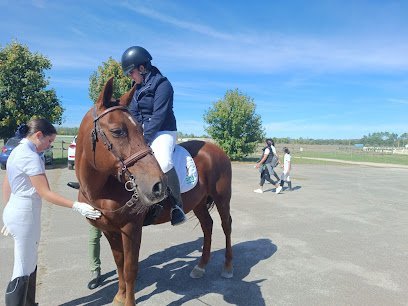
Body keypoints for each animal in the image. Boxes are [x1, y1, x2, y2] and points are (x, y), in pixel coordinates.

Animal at [74, 77, 231, 304]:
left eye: (141, 130)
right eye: (117, 131)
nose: (158, 187)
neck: (103, 190)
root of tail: (216, 149)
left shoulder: (131, 228)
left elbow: (130, 269)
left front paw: (128, 301)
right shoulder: (110, 231)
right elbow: (119, 264)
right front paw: (119, 296)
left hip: (222, 198)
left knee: (226, 226)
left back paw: (228, 267)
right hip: (199, 203)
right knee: (207, 226)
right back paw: (200, 267)